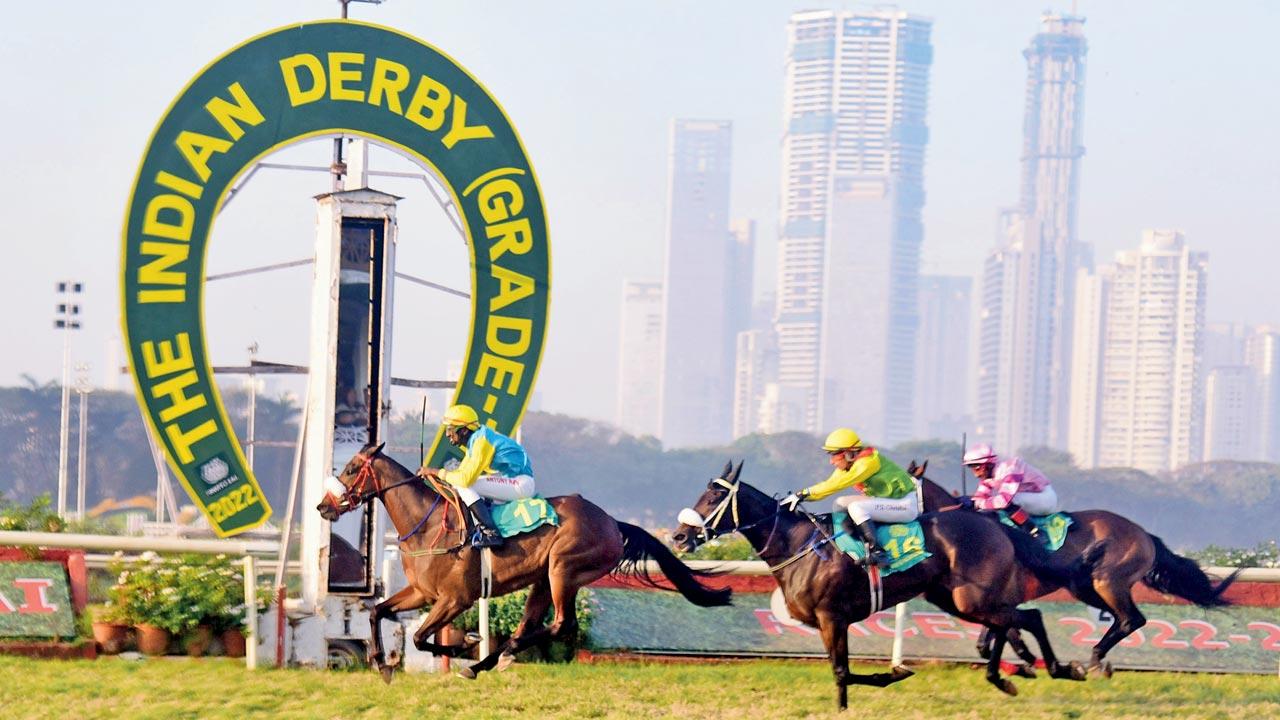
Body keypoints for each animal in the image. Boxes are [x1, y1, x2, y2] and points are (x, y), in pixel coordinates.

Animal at [317, 440, 732, 681]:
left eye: (351, 469)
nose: (323, 507)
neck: (429, 524)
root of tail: (613, 522)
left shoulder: (455, 599)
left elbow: (419, 637)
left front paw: (463, 645)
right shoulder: (422, 592)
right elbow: (377, 612)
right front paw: (381, 662)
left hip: (563, 569)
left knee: (562, 624)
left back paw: (488, 659)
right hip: (543, 579)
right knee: (534, 623)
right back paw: (493, 659)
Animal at [670, 458, 1090, 707]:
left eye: (714, 496)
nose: (678, 536)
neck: (798, 543)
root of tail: (993, 523)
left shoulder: (832, 617)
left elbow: (842, 672)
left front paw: (885, 677)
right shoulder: (828, 622)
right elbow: (841, 670)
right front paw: (887, 676)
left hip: (971, 598)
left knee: (1023, 618)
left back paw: (1056, 669)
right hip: (954, 599)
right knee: (1016, 620)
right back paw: (1022, 674)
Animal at [911, 458, 1239, 671]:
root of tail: (1145, 535)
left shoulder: (1000, 595)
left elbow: (1004, 630)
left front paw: (1027, 658)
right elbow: (991, 636)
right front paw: (1018, 657)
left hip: (1107, 581)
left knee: (1131, 619)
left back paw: (1094, 659)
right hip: (1085, 586)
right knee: (1121, 618)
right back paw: (1097, 658)